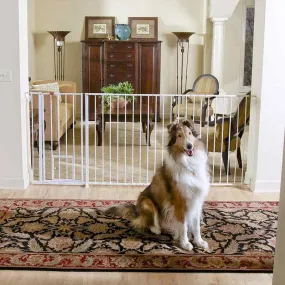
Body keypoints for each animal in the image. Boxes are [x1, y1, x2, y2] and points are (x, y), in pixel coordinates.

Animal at [105, 118, 210, 250]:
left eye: (190, 133)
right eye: (179, 136)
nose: (189, 146)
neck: (189, 166)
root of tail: (137, 211)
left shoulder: (197, 200)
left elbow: (196, 226)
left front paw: (199, 242)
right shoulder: (180, 201)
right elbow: (183, 225)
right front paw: (185, 243)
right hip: (147, 202)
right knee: (145, 222)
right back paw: (156, 229)